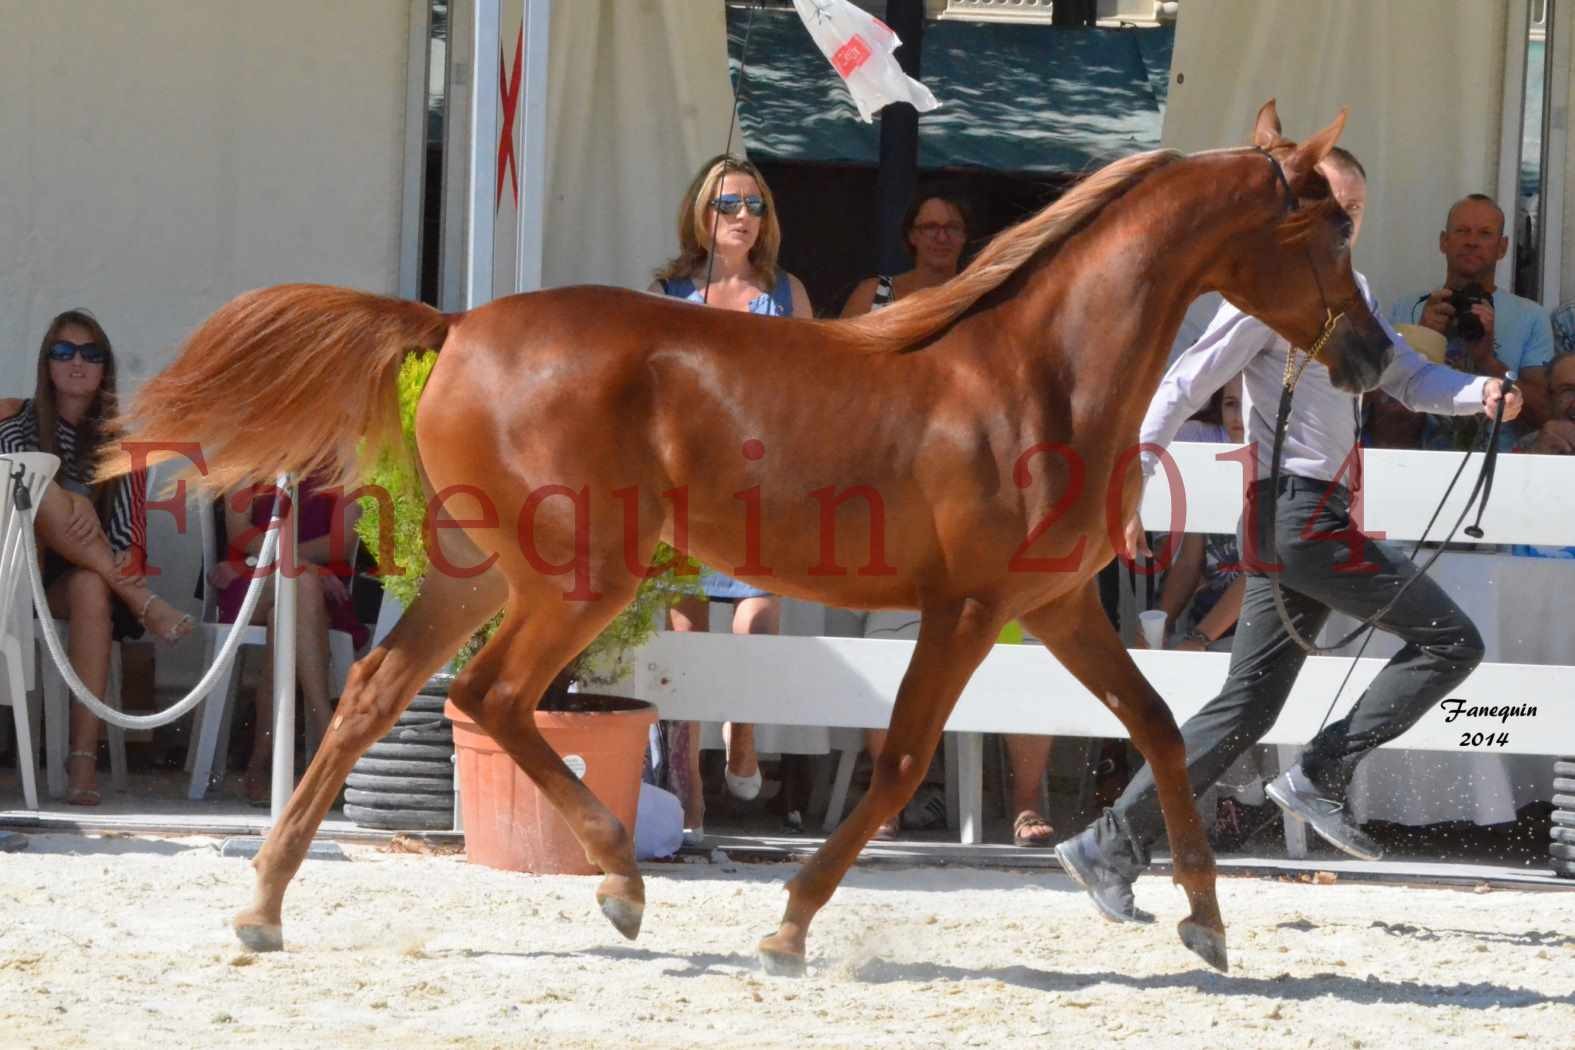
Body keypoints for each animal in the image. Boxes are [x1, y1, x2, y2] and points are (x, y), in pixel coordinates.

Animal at [107, 102, 1392, 976]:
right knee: (494, 698)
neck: (1042, 375)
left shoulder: (1057, 605)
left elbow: (1165, 728)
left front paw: (1203, 923)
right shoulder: (969, 607)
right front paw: (787, 926)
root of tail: (458, 322)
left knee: (385, 692)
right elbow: (899, 762)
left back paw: (265, 908)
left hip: (480, 573)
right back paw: (621, 884)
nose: (1375, 358)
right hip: (577, 576)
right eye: (1330, 229)